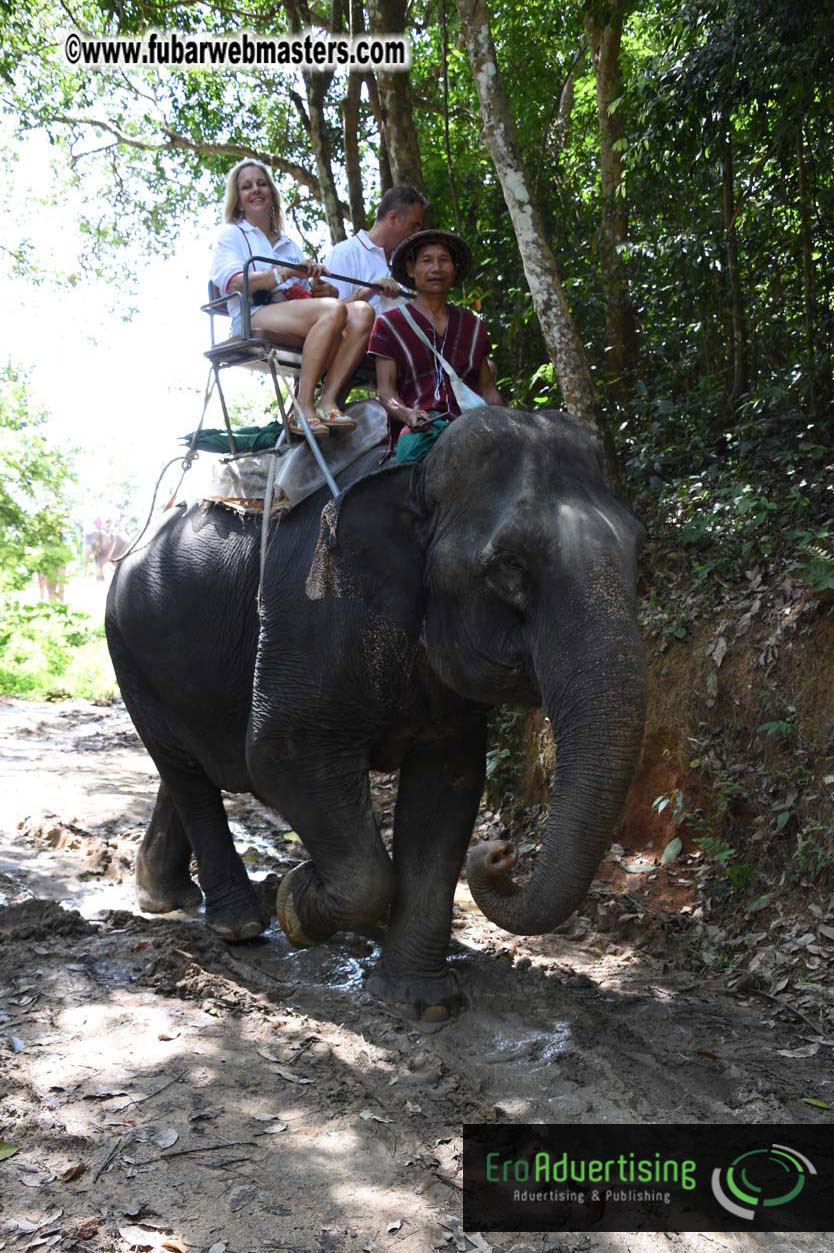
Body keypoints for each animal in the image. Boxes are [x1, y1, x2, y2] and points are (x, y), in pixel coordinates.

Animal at [105, 407, 646, 1025]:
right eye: (508, 564)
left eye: (638, 550)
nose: (501, 851)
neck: (416, 473)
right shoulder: (309, 619)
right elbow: (279, 756)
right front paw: (298, 900)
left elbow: (448, 787)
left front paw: (423, 1005)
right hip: (130, 652)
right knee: (185, 770)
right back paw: (238, 924)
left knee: (184, 765)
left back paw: (163, 897)